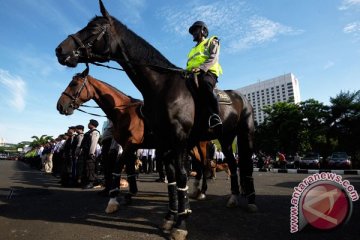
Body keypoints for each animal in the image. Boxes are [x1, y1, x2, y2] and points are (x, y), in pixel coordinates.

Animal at [55, 1, 256, 238]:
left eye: (94, 29)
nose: (60, 50)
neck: (162, 87)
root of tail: (241, 97)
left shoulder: (169, 141)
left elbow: (178, 176)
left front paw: (181, 223)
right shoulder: (163, 143)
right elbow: (170, 178)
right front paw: (170, 217)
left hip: (239, 136)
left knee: (238, 165)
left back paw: (248, 200)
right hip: (222, 139)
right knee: (231, 165)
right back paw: (230, 196)